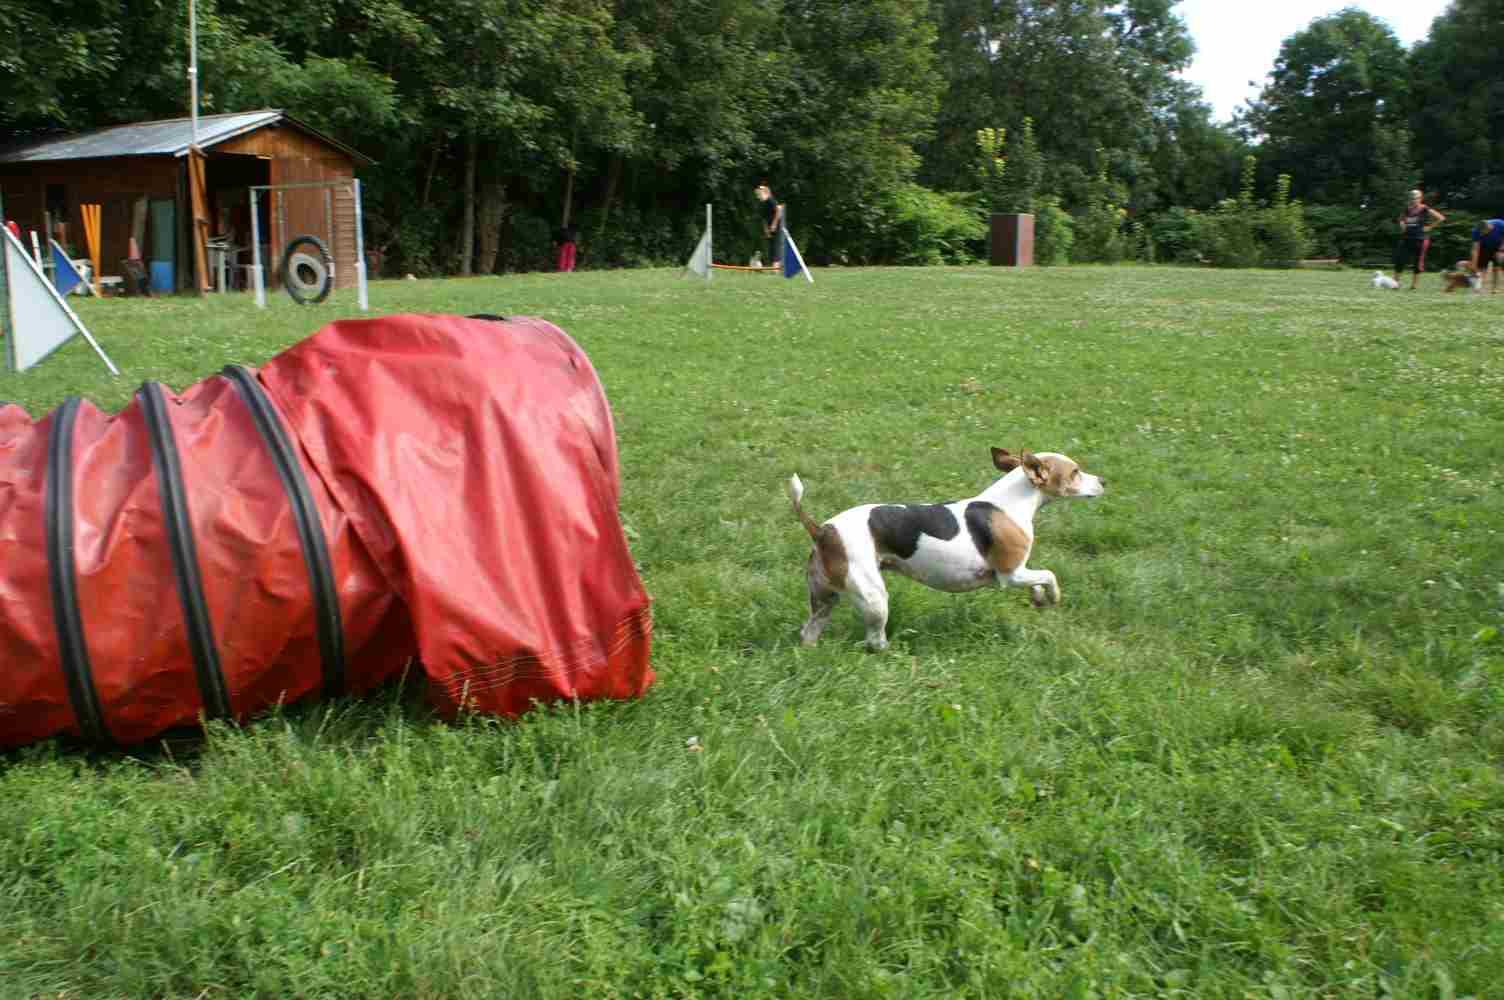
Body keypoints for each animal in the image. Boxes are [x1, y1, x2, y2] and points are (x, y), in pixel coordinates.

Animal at [786, 448, 1105, 651]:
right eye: (1075, 472)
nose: (1103, 480)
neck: (1010, 503)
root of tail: (822, 530)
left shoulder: (1019, 573)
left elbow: (1037, 580)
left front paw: (1039, 598)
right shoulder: (1010, 575)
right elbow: (1049, 575)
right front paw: (1053, 596)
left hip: (824, 599)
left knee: (808, 631)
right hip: (874, 598)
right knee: (875, 641)